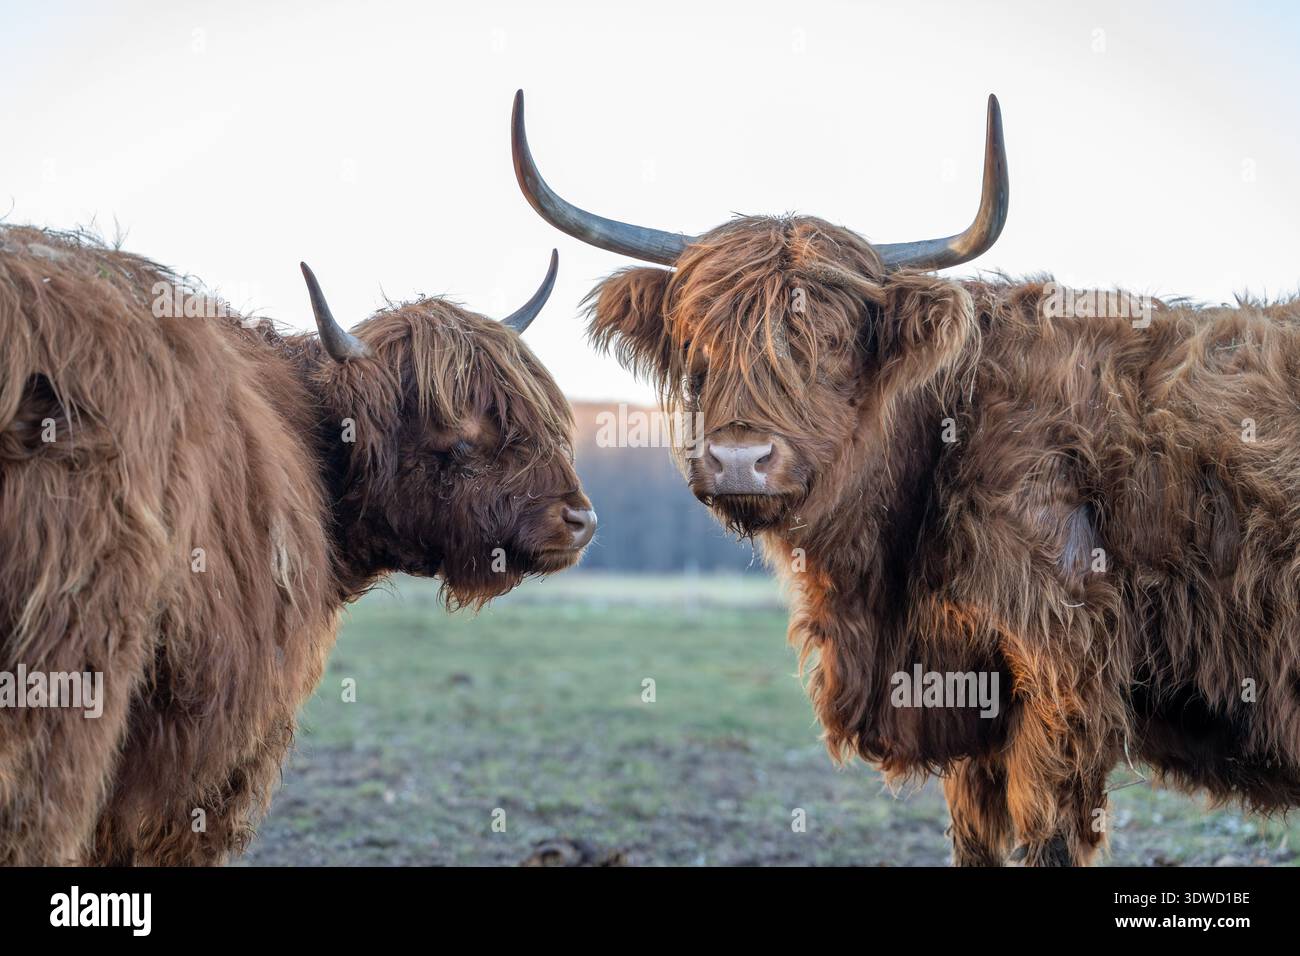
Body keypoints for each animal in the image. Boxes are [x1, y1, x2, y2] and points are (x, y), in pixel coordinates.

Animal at [511, 88, 1300, 865]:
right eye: (699, 341)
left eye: (832, 343)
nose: (740, 459)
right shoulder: (967, 700)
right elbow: (974, 843)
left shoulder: (1065, 673)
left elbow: (1044, 840)